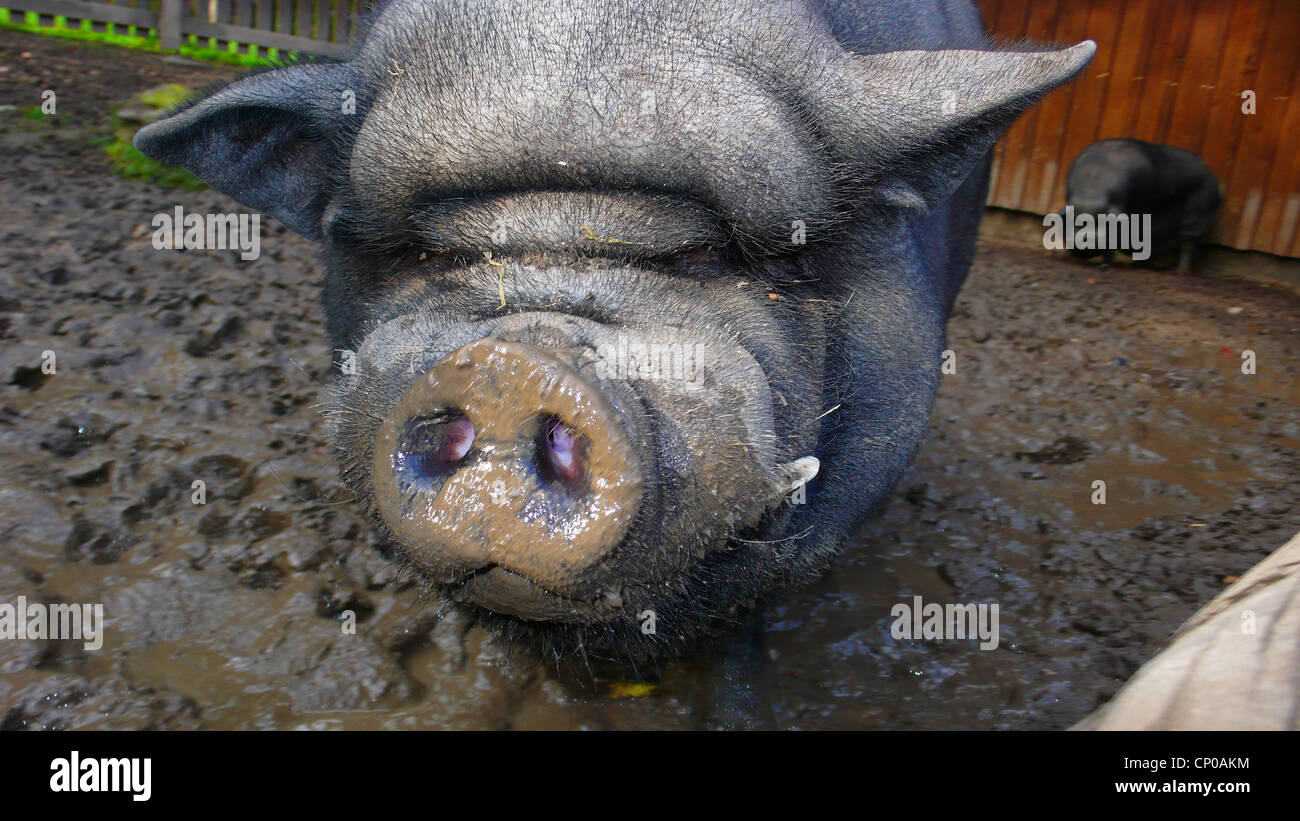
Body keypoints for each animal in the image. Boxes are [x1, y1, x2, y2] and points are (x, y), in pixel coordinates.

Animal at [1060, 138, 1221, 273]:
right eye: (1077, 222)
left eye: (1103, 223)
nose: (1085, 238)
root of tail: (1214, 180)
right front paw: (1066, 258)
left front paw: (1105, 266)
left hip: (1198, 211)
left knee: (1188, 239)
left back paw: (1179, 271)